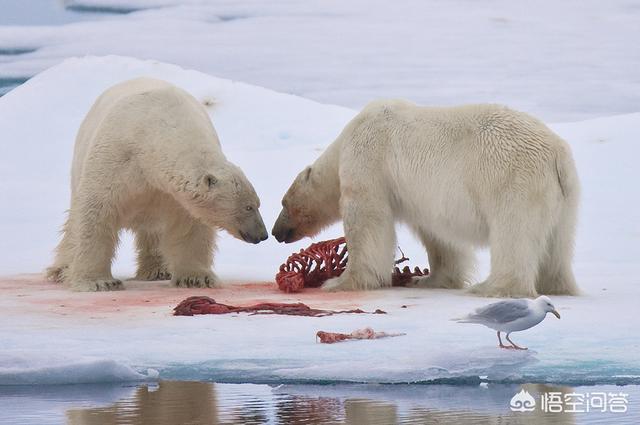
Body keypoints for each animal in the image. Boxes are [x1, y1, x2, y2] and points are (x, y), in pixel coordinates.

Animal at [47, 78, 268, 290]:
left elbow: (189, 226)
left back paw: (158, 270)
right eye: (248, 207)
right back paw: (60, 270)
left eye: (257, 204)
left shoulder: (172, 194)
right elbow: (97, 212)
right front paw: (99, 282)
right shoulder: (117, 159)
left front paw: (196, 278)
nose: (263, 234)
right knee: (74, 220)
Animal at [272, 100, 584, 296]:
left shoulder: (369, 162)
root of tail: (557, 153)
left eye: (284, 203)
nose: (276, 232)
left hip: (513, 180)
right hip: (564, 197)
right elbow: (440, 238)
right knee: (557, 245)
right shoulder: (425, 200)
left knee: (514, 234)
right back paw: (556, 286)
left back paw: (491, 288)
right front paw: (426, 279)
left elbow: (368, 220)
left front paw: (341, 282)